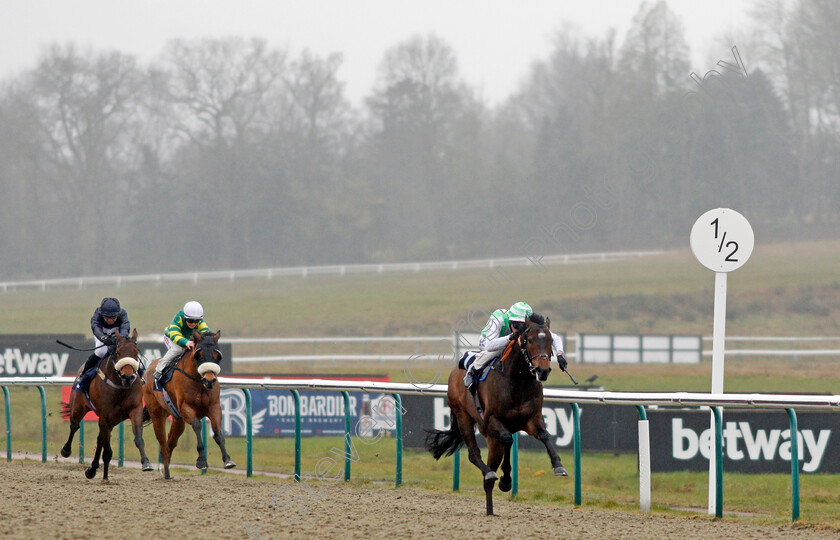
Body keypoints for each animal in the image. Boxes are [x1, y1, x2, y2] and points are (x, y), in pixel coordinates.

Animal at [60, 326, 153, 478]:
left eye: (135, 352)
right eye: (118, 352)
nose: (128, 377)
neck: (121, 387)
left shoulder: (135, 409)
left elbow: (138, 438)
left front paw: (146, 463)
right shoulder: (105, 415)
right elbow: (107, 449)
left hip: (112, 420)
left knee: (100, 439)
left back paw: (93, 469)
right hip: (78, 407)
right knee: (74, 426)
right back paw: (67, 451)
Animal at [140, 326, 233, 478]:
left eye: (217, 355)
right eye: (199, 354)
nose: (209, 380)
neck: (198, 381)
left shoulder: (214, 407)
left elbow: (218, 432)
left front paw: (228, 460)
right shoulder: (186, 408)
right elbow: (197, 425)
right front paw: (201, 461)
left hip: (177, 419)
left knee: (170, 443)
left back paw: (166, 471)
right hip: (157, 413)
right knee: (163, 442)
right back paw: (163, 470)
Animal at [424, 314, 568, 516]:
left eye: (549, 340)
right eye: (530, 340)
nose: (543, 370)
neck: (517, 379)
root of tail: (454, 371)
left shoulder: (531, 419)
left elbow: (545, 436)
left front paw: (558, 466)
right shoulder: (491, 420)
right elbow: (508, 439)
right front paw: (505, 480)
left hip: (492, 439)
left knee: (491, 470)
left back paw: (491, 509)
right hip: (464, 417)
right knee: (474, 454)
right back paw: (490, 475)